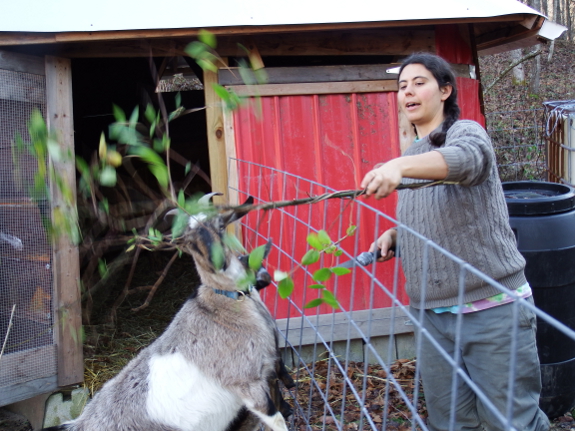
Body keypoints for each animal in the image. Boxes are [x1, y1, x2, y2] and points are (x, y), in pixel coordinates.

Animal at [44, 197, 292, 431]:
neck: (225, 304)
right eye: (189, 240)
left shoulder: (270, 368)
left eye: (220, 225)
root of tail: (81, 422)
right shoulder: (248, 382)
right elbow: (276, 420)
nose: (217, 261)